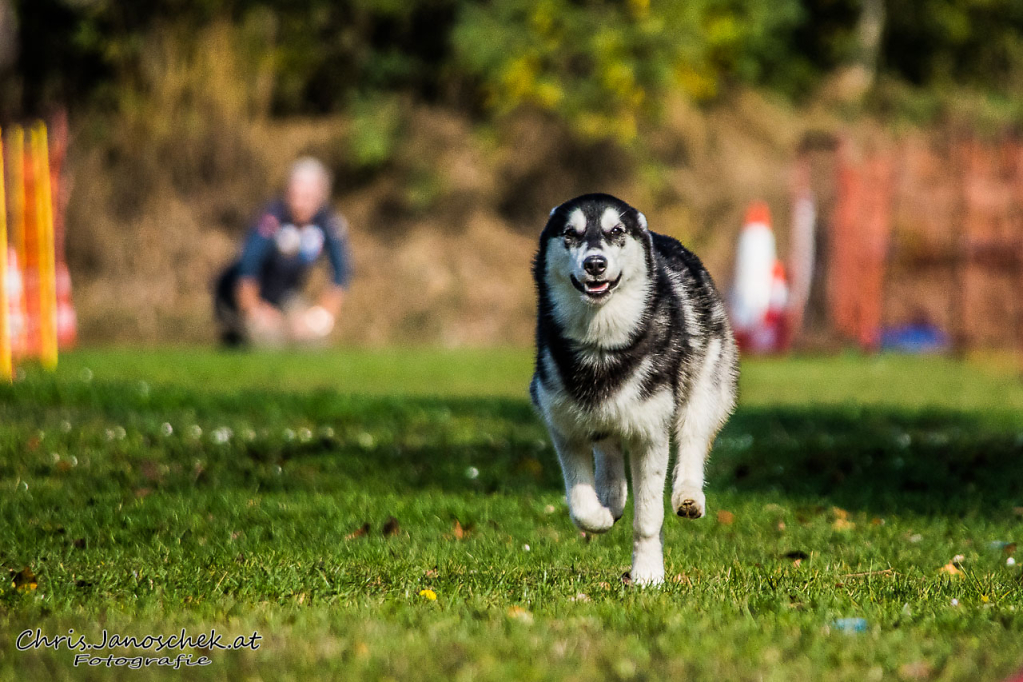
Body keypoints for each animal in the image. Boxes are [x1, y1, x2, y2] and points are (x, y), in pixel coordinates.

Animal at [531, 193, 740, 588]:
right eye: (570, 233)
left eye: (616, 231)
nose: (595, 263)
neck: (600, 347)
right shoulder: (564, 428)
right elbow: (580, 505)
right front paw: (600, 515)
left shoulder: (650, 434)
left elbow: (648, 518)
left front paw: (647, 574)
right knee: (610, 457)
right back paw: (612, 498)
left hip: (704, 391)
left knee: (692, 442)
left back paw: (688, 495)